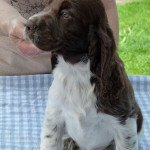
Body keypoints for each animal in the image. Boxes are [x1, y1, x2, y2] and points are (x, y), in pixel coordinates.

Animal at [24, 0, 143, 150]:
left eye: (65, 15)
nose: (27, 24)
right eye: (47, 6)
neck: (75, 72)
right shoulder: (54, 116)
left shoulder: (124, 122)